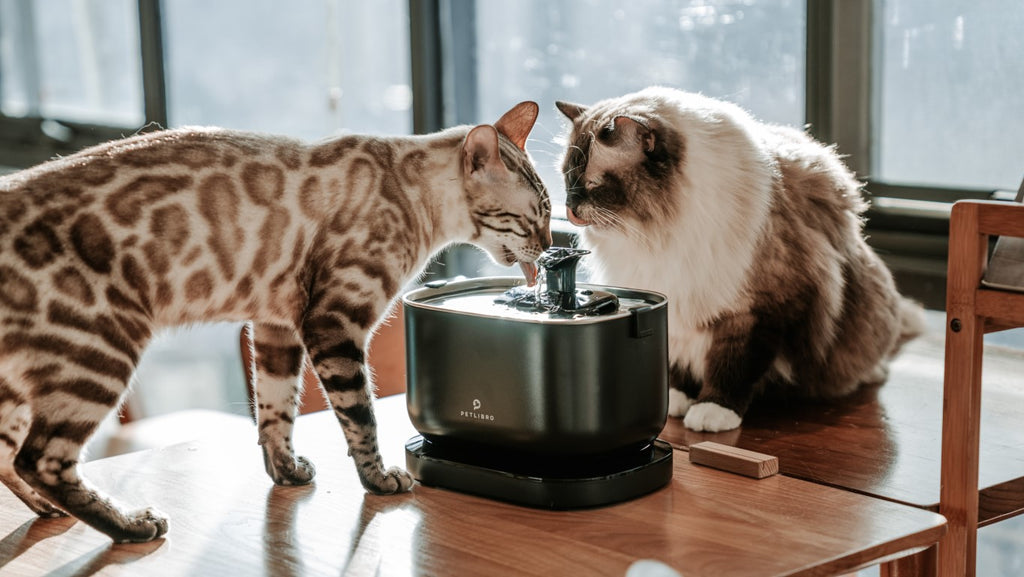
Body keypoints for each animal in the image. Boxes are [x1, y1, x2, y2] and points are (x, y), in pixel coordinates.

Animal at [557, 88, 925, 434]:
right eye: (566, 179)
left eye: (593, 185)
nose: (569, 208)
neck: (655, 235)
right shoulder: (673, 304)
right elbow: (674, 364)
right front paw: (676, 398)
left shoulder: (759, 310)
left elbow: (734, 366)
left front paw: (712, 411)